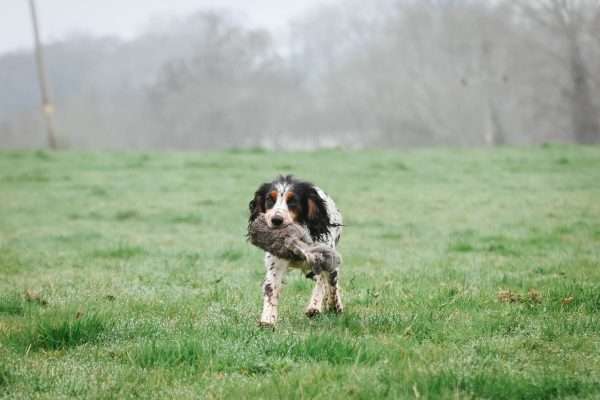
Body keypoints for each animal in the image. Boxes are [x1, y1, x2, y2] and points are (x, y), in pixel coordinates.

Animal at [248, 173, 342, 326]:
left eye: (293, 201)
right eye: (269, 199)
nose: (276, 220)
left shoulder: (323, 258)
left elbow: (324, 284)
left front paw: (317, 306)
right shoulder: (276, 264)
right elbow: (271, 289)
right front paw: (268, 319)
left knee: (331, 283)